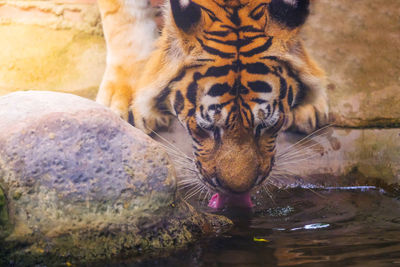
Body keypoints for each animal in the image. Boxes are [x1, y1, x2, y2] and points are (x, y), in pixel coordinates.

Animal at [96, 0, 328, 205]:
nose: (238, 192)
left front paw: (309, 105)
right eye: (204, 128)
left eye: (267, 125)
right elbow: (124, 23)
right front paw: (127, 103)